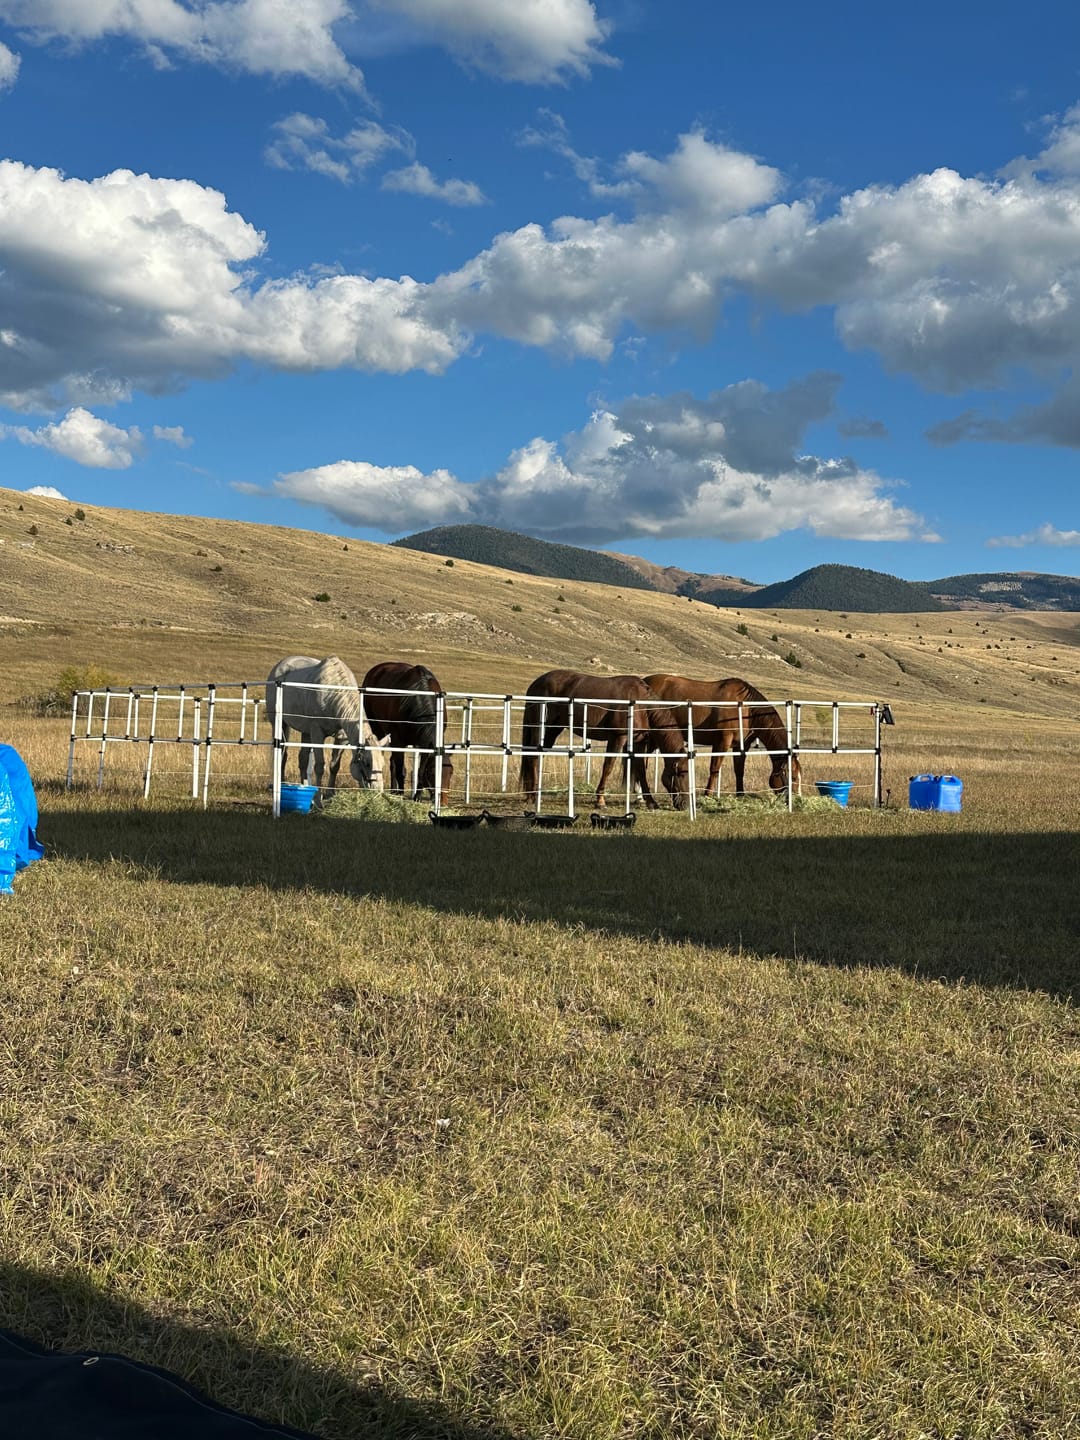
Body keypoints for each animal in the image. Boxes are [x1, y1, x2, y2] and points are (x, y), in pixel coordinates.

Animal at [265, 655, 381, 792]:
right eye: (367, 763)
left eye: (382, 763)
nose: (377, 791)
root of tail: (279, 666)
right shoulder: (317, 734)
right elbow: (319, 766)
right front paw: (318, 797)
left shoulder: (341, 739)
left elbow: (334, 766)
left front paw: (329, 793)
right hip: (279, 724)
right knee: (282, 755)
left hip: (306, 732)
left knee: (303, 759)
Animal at [361, 661, 454, 806]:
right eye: (432, 773)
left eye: (451, 772)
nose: (443, 802)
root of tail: (375, 670)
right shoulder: (399, 741)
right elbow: (401, 771)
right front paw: (401, 795)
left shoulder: (424, 745)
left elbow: (419, 771)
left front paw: (418, 796)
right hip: (378, 729)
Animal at [519, 669, 689, 811]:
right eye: (681, 773)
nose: (685, 805)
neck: (642, 706)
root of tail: (535, 684)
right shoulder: (618, 738)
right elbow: (608, 767)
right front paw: (600, 800)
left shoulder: (639, 742)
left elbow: (641, 770)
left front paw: (651, 801)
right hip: (541, 728)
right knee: (533, 757)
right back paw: (533, 796)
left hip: (553, 730)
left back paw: (533, 794)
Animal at [643, 674, 800, 796]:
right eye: (792, 777)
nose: (796, 798)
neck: (745, 709)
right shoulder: (722, 742)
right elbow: (714, 769)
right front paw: (707, 794)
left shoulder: (741, 746)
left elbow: (739, 770)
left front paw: (740, 794)